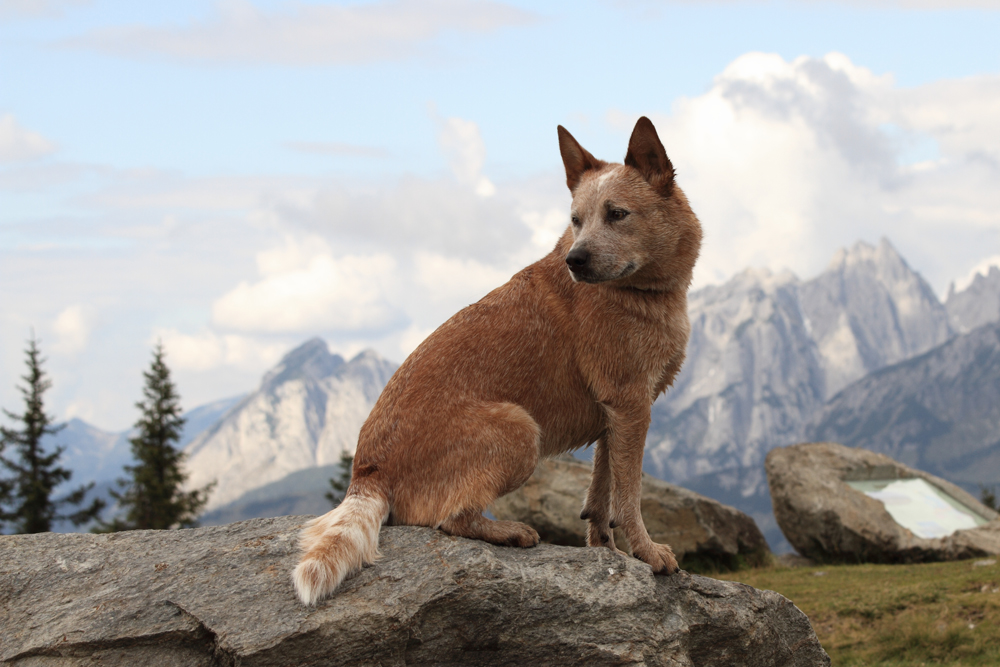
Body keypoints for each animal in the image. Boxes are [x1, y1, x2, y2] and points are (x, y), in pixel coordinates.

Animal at [292, 115, 704, 604]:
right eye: (576, 220)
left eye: (617, 214)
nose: (575, 260)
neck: (641, 293)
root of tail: (366, 473)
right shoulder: (631, 404)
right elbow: (629, 493)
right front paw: (647, 552)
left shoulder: (615, 413)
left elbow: (602, 491)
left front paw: (607, 550)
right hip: (522, 430)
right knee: (449, 519)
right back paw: (509, 531)